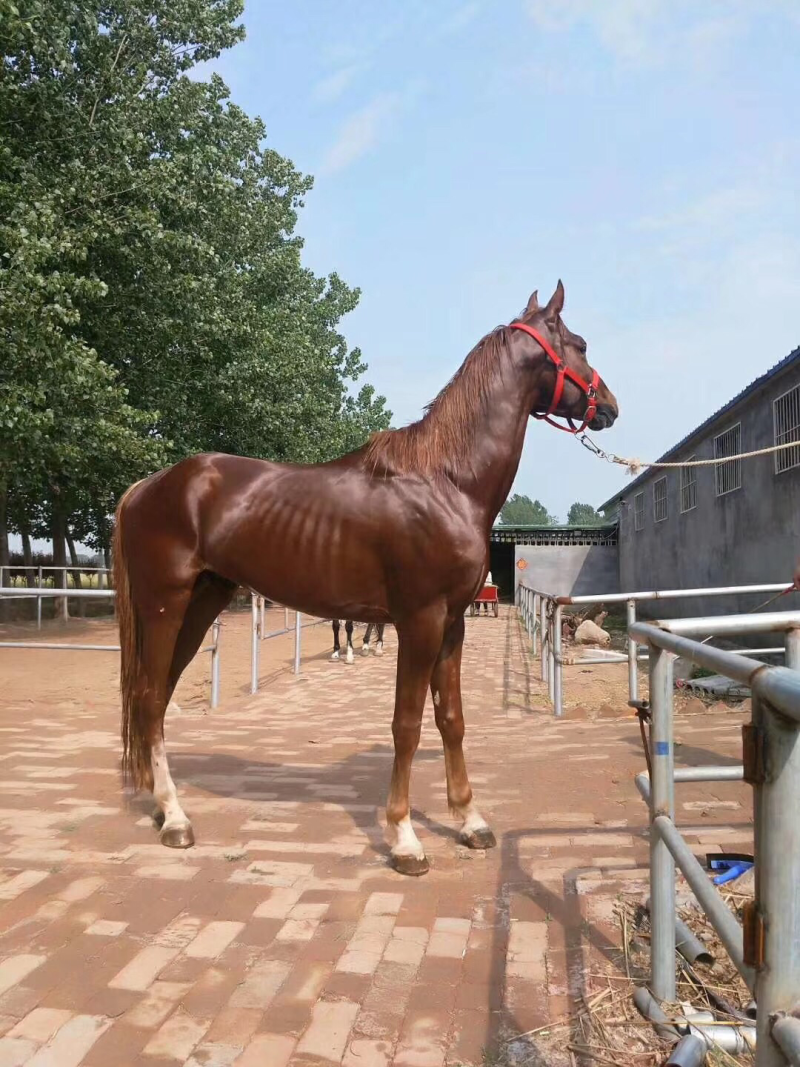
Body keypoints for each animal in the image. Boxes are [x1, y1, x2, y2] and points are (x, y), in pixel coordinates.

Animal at [113, 282, 618, 876]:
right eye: (580, 344)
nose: (610, 406)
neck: (446, 480)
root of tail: (148, 485)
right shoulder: (419, 622)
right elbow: (407, 724)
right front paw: (404, 838)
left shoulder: (452, 624)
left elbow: (452, 718)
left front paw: (470, 822)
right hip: (164, 606)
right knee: (149, 698)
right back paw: (175, 819)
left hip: (201, 603)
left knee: (158, 697)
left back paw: (157, 804)